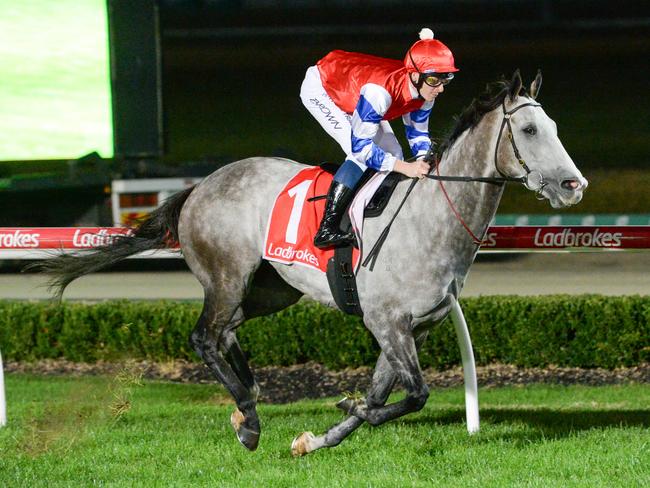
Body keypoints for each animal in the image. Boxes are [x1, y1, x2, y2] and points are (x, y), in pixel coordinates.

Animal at [36, 70, 588, 456]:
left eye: (555, 126)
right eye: (530, 129)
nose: (573, 185)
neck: (429, 219)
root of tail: (200, 186)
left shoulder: (414, 327)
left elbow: (383, 395)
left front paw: (318, 438)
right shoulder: (386, 321)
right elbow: (412, 395)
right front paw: (343, 408)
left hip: (273, 289)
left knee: (228, 330)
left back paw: (246, 401)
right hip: (226, 277)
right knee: (203, 336)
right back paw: (249, 416)